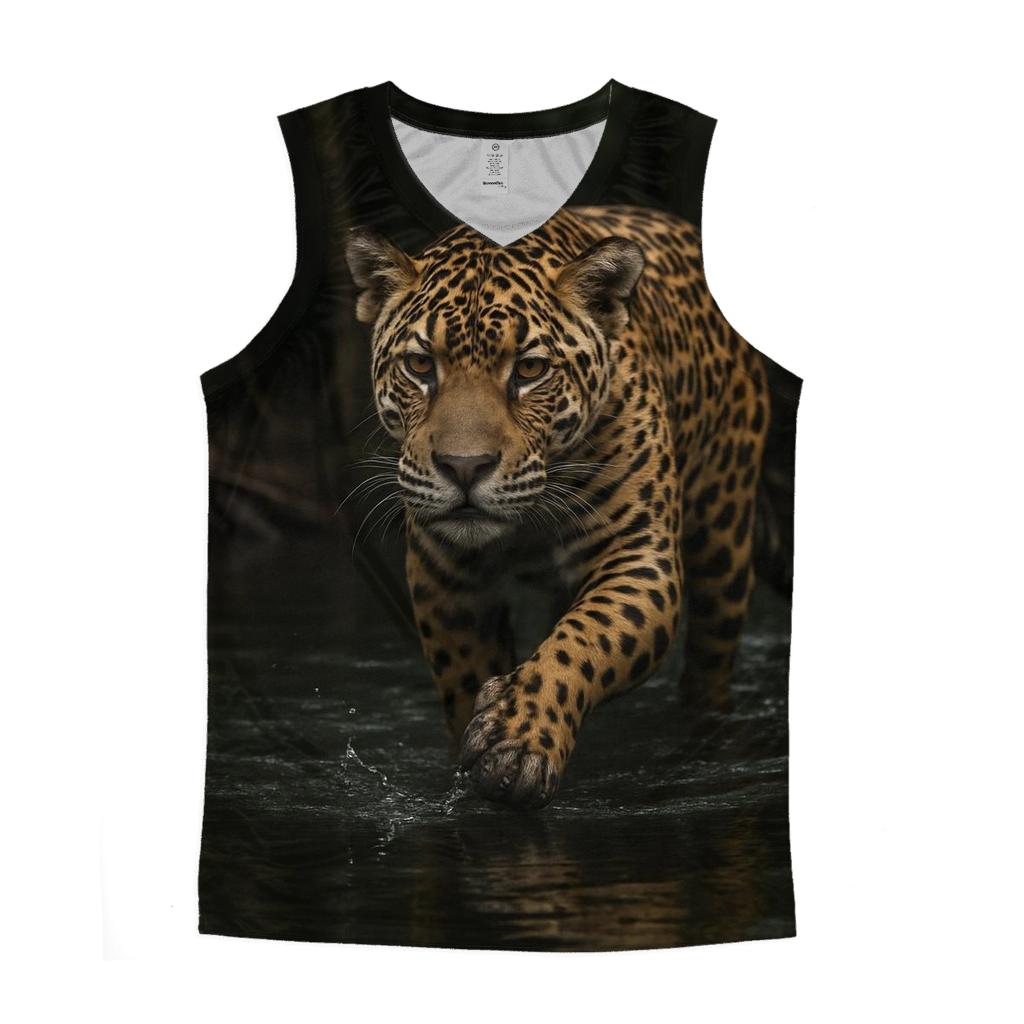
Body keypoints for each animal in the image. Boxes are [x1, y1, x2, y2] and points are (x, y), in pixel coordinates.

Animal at [345, 204, 770, 809]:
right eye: (421, 366)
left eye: (529, 370)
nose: (465, 467)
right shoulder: (444, 575)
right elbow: (464, 676)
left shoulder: (639, 554)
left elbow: (585, 639)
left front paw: (519, 742)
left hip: (725, 542)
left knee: (710, 662)